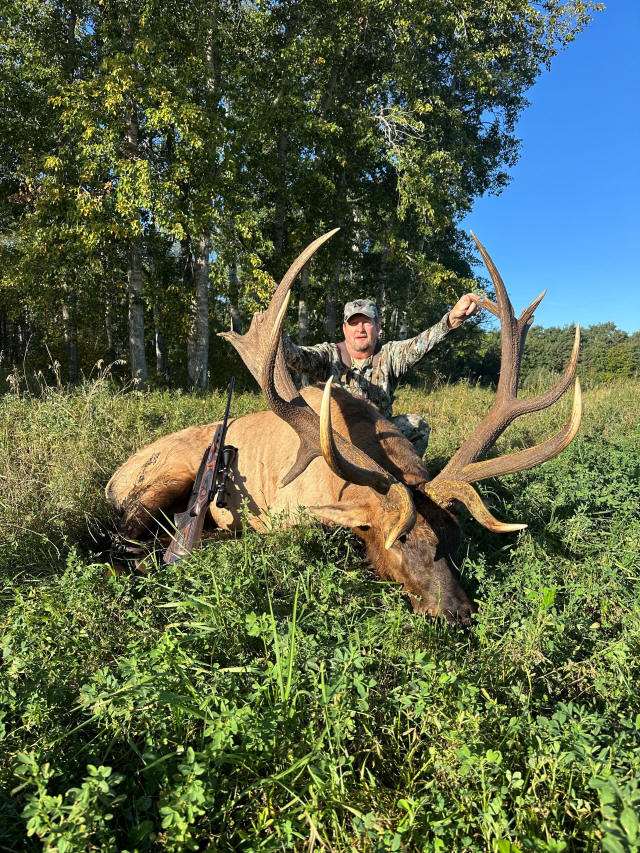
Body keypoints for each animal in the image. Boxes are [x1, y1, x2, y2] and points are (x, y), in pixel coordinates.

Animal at [105, 230, 581, 624]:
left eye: (456, 536)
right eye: (402, 540)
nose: (457, 614)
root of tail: (111, 479)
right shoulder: (286, 518)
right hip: (161, 482)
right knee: (121, 544)